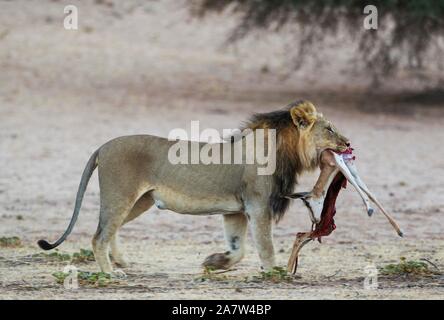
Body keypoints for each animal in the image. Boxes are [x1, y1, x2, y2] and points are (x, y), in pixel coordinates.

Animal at [38, 100, 348, 276]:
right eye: (329, 129)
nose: (347, 143)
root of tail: (103, 146)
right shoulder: (258, 205)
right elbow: (266, 246)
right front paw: (275, 274)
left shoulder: (236, 211)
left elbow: (238, 248)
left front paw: (214, 262)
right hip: (121, 195)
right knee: (98, 236)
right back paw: (110, 274)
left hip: (140, 201)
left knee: (110, 230)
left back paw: (120, 262)